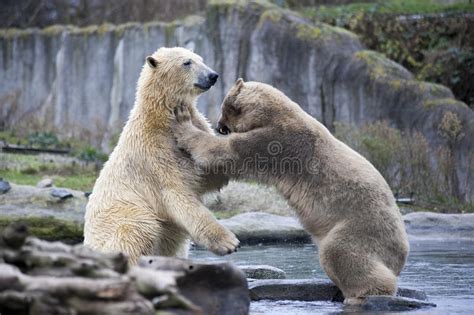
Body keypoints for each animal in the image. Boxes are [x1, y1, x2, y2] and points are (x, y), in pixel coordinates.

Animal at [83, 47, 239, 266]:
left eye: (201, 59)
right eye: (187, 62)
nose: (212, 75)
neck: (160, 118)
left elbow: (206, 175)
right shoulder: (155, 154)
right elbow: (177, 194)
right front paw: (228, 242)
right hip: (123, 215)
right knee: (140, 228)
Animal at [172, 79, 410, 306]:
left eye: (223, 107)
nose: (220, 126)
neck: (276, 113)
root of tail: (400, 253)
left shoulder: (276, 141)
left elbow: (225, 151)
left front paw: (182, 119)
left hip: (361, 226)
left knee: (341, 252)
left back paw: (362, 294)